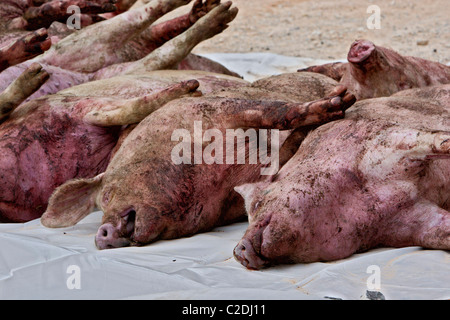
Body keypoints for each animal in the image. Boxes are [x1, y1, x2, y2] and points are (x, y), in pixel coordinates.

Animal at [39, 71, 356, 249]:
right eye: (100, 205)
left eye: (106, 195)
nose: (100, 235)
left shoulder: (221, 108)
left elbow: (274, 112)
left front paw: (340, 101)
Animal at [234, 84, 450, 268]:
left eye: (257, 203)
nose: (238, 251)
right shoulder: (408, 224)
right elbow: (441, 231)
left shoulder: (390, 140)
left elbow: (437, 141)